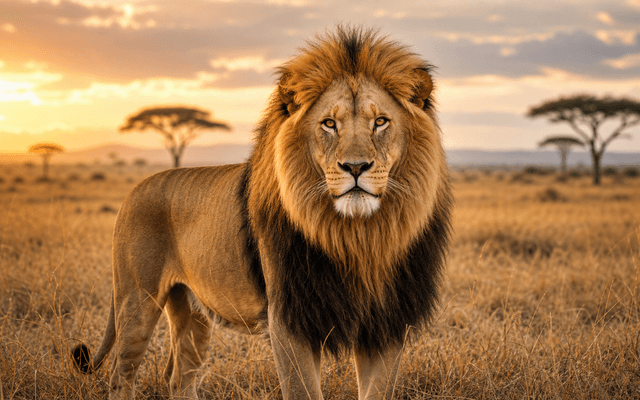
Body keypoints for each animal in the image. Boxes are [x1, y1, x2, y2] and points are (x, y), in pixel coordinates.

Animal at [71, 26, 452, 400]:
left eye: (381, 122)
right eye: (329, 124)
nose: (355, 167)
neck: (358, 238)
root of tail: (136, 188)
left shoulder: (387, 323)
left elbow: (378, 391)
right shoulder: (288, 319)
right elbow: (302, 391)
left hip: (192, 311)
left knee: (179, 378)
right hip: (137, 300)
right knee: (121, 376)